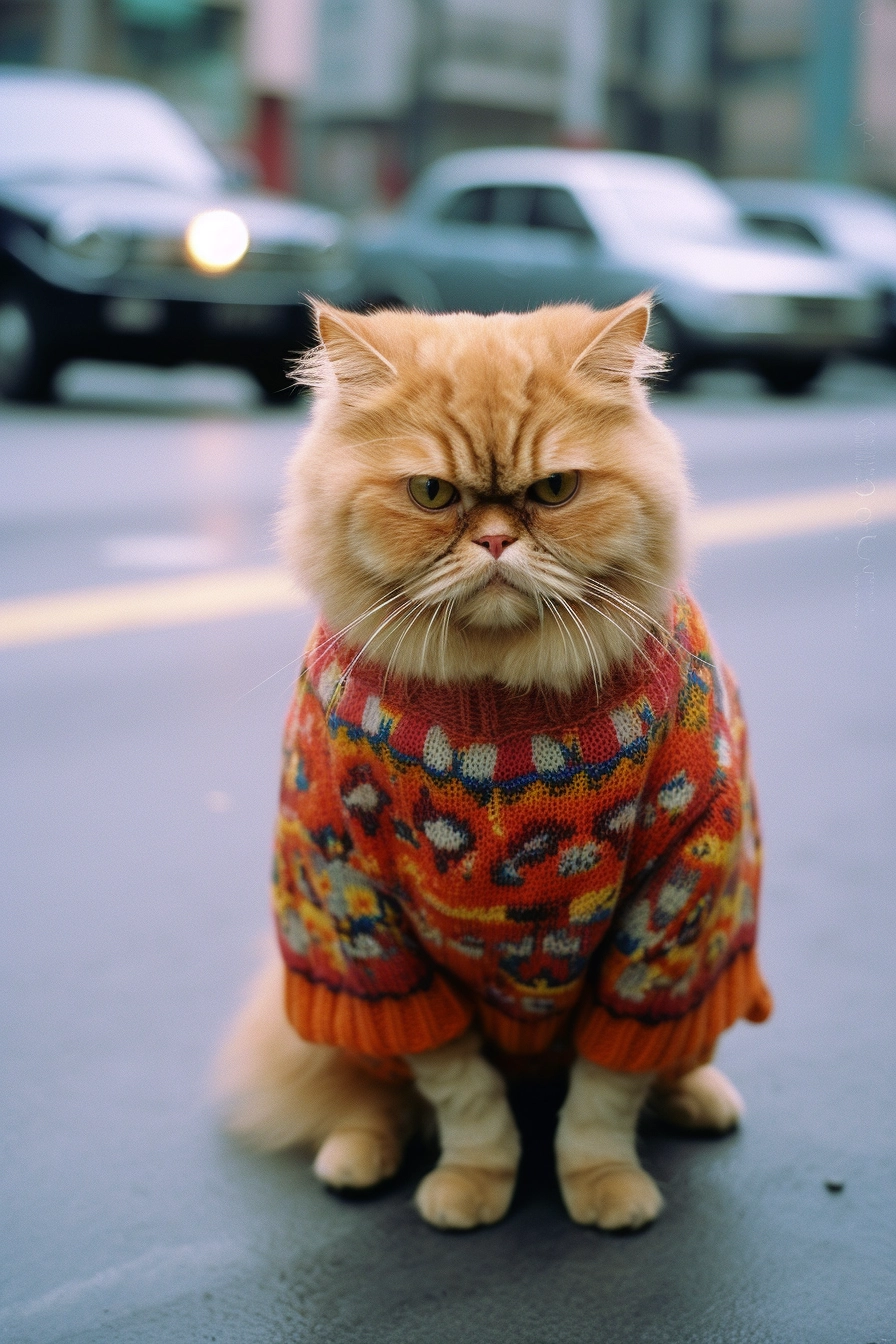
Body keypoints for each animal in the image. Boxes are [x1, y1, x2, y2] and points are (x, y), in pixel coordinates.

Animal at [214, 297, 773, 1231]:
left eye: (554, 491)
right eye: (432, 494)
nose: (499, 541)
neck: (500, 703)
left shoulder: (666, 927)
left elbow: (605, 1095)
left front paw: (604, 1187)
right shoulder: (374, 931)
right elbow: (463, 1094)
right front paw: (475, 1185)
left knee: (669, 1062)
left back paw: (702, 1099)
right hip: (345, 1001)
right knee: (371, 1098)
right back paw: (357, 1157)